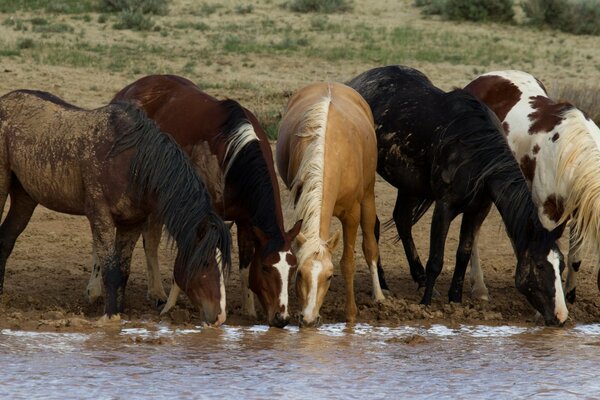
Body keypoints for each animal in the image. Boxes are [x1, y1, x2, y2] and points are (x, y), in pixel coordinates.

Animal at [0, 89, 230, 324]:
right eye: (204, 262)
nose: (220, 316)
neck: (130, 163)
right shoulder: (101, 217)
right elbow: (110, 269)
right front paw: (110, 317)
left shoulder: (132, 223)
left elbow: (123, 270)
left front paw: (118, 312)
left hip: (25, 197)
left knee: (6, 239)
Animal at [93, 76, 302, 328]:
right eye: (266, 267)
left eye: (292, 268)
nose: (282, 318)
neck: (232, 156)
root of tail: (127, 90)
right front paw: (170, 308)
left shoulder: (246, 221)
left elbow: (243, 267)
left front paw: (249, 310)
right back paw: (96, 290)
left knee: (150, 241)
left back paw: (156, 292)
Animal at [276, 83, 384, 326]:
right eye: (300, 274)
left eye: (328, 277)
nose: (308, 318)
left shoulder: (352, 214)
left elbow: (348, 263)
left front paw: (351, 314)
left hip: (368, 195)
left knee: (370, 246)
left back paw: (379, 296)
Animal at [346, 65, 568, 326]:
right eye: (540, 266)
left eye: (561, 265)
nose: (561, 316)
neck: (474, 154)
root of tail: (357, 82)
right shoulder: (445, 206)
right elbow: (436, 259)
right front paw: (426, 303)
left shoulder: (478, 209)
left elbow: (463, 253)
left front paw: (455, 299)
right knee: (375, 225)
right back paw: (384, 284)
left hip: (408, 185)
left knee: (402, 220)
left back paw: (419, 278)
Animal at [466, 71, 600, 304]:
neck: (571, 153)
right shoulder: (548, 215)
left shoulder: (580, 212)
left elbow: (574, 259)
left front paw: (569, 295)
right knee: (473, 232)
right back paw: (480, 288)